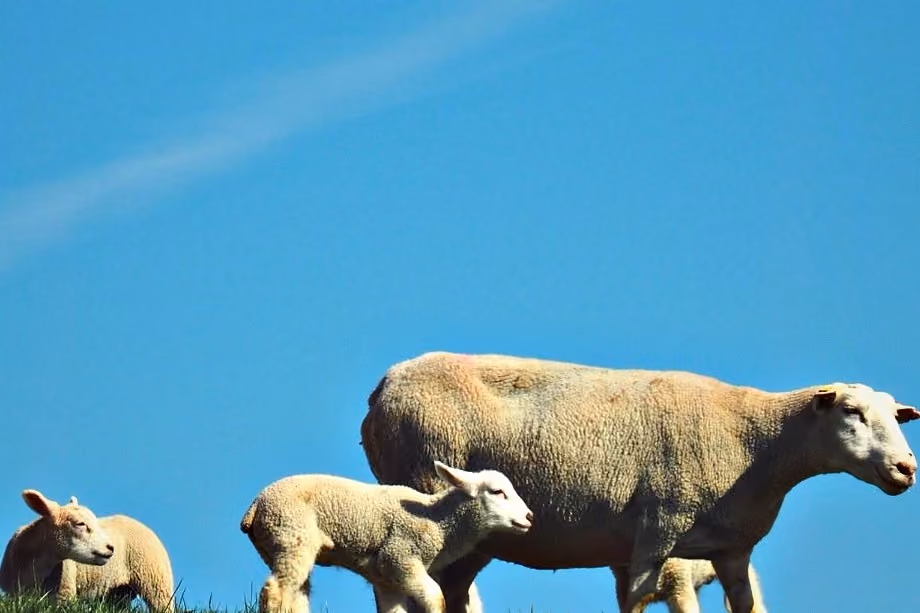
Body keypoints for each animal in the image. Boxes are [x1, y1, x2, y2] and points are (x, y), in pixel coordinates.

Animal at [239, 460, 534, 613]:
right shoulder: (400, 557)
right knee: (275, 590)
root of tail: (253, 508)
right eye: (497, 492)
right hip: (292, 534)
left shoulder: (385, 577)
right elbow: (437, 598)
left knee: (296, 594)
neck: (438, 521)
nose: (530, 517)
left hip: (278, 543)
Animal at [360, 351, 919, 613]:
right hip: (424, 490)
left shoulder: (732, 549)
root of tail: (384, 385)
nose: (907, 468)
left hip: (473, 534)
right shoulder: (658, 529)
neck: (757, 441)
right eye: (851, 412)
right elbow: (635, 601)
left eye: (897, 416)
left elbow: (745, 604)